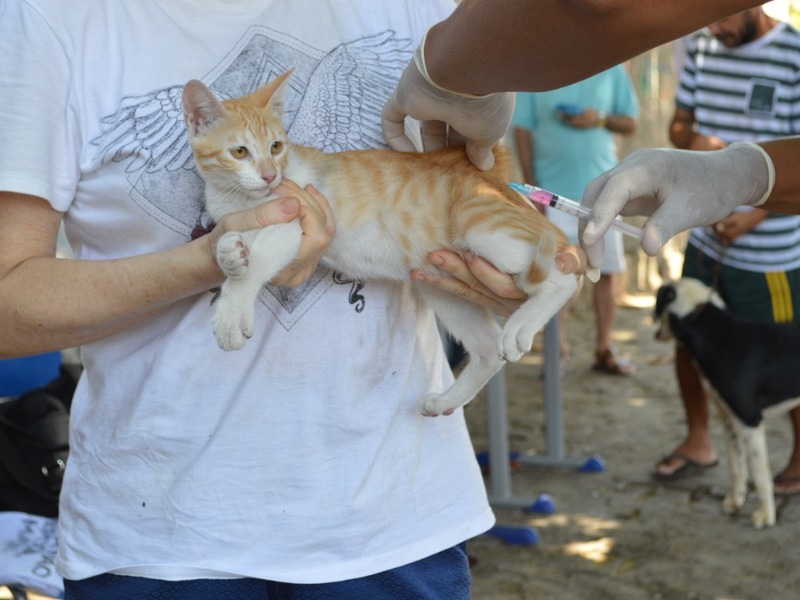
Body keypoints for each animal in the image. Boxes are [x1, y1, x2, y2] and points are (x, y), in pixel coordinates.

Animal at [182, 70, 580, 418]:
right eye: (239, 152)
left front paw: (231, 312)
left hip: (479, 222)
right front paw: (229, 255)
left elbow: (260, 260)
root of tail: (489, 175)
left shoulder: (295, 218)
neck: (240, 199)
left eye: (276, 147)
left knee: (566, 278)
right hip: (440, 285)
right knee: (486, 351)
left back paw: (522, 325)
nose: (269, 176)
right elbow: (231, 245)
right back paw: (447, 399)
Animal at [652, 278, 800, 528]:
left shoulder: (751, 421)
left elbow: (759, 474)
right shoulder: (728, 419)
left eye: (661, 299)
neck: (718, 335)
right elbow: (736, 465)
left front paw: (765, 515)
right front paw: (735, 502)